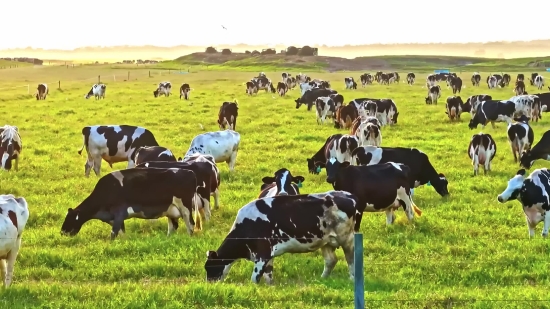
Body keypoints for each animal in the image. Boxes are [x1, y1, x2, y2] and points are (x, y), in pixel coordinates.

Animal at [60, 167, 201, 239]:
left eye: (70, 219)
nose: (62, 232)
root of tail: (190, 172)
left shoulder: (118, 213)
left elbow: (113, 233)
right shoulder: (117, 218)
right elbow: (121, 233)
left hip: (185, 207)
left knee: (190, 224)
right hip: (171, 209)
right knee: (173, 226)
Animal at [206, 190, 358, 284]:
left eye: (209, 267)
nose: (210, 284)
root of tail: (347, 194)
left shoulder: (262, 253)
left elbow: (255, 278)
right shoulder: (268, 255)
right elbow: (268, 275)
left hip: (347, 238)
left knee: (351, 258)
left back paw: (352, 279)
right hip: (326, 241)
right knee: (331, 260)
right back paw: (322, 279)